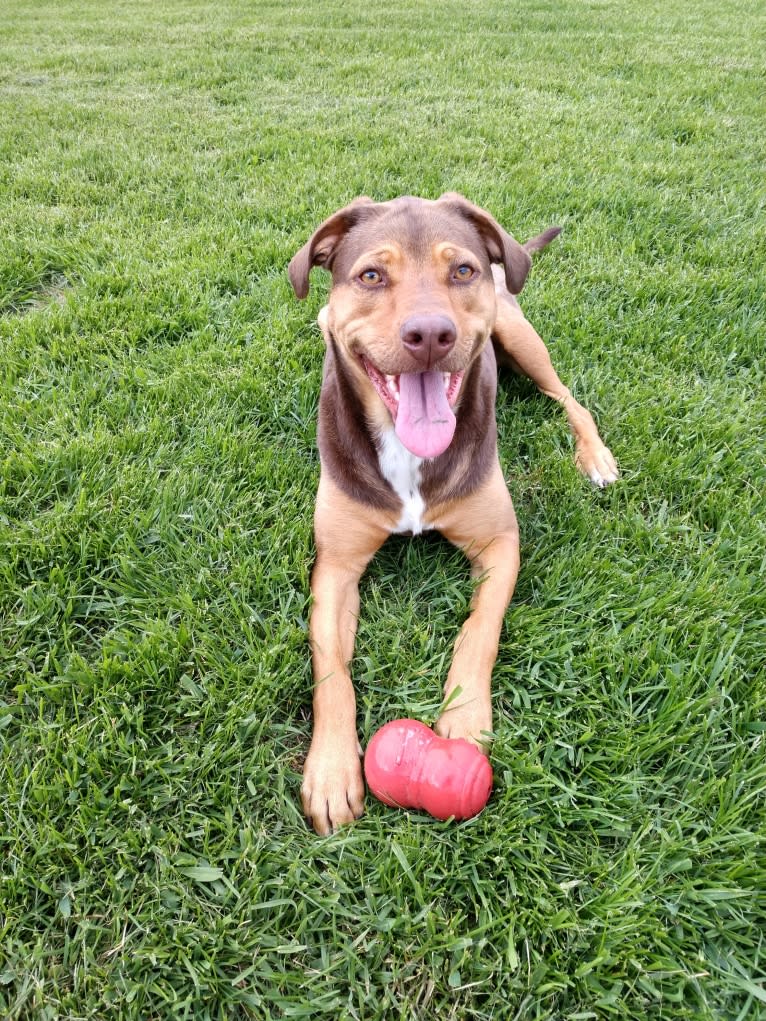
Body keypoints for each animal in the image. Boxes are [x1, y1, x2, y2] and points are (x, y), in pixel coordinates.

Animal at [288, 195, 616, 833]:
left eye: (461, 270)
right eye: (371, 275)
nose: (430, 335)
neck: (408, 453)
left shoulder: (501, 542)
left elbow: (480, 629)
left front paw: (463, 719)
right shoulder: (335, 565)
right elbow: (330, 666)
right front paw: (333, 770)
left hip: (520, 335)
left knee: (569, 398)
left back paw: (595, 456)